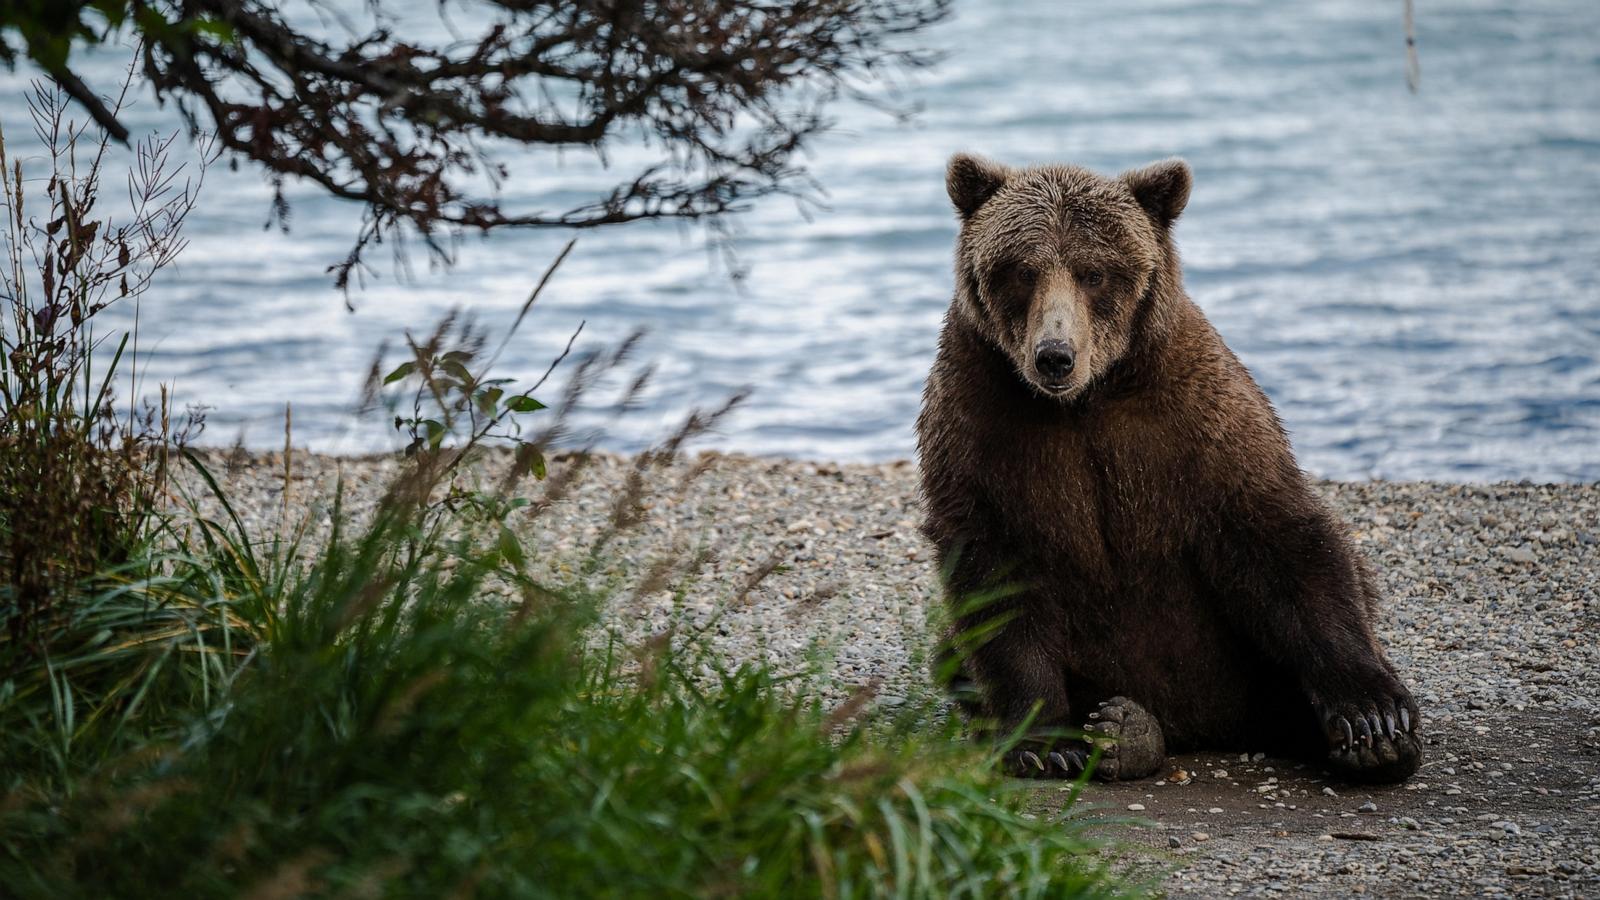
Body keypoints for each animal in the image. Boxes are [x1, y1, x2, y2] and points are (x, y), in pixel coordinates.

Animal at [916, 153, 1422, 784]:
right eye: (1022, 270)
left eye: (1095, 272)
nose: (1055, 356)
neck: (1084, 400)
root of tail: (1196, 727)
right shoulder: (980, 418)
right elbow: (994, 573)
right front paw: (1043, 741)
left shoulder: (1194, 413)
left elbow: (1279, 531)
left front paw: (1374, 720)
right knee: (953, 653)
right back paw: (1124, 729)